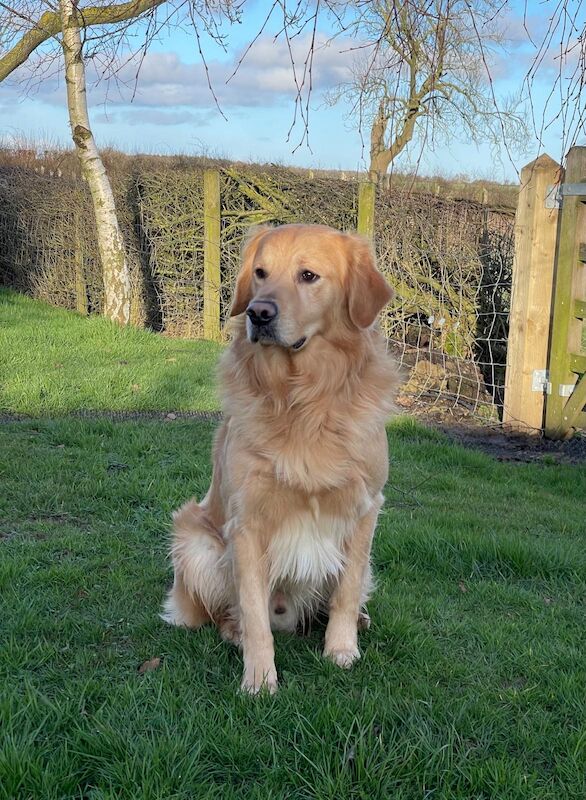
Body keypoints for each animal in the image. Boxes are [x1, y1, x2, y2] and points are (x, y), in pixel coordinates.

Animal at [160, 222, 396, 692]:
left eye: (308, 276)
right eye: (261, 273)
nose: (258, 313)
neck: (302, 399)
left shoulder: (365, 509)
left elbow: (345, 591)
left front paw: (341, 649)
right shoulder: (247, 522)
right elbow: (253, 611)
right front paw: (259, 678)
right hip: (196, 543)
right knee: (223, 613)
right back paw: (232, 632)